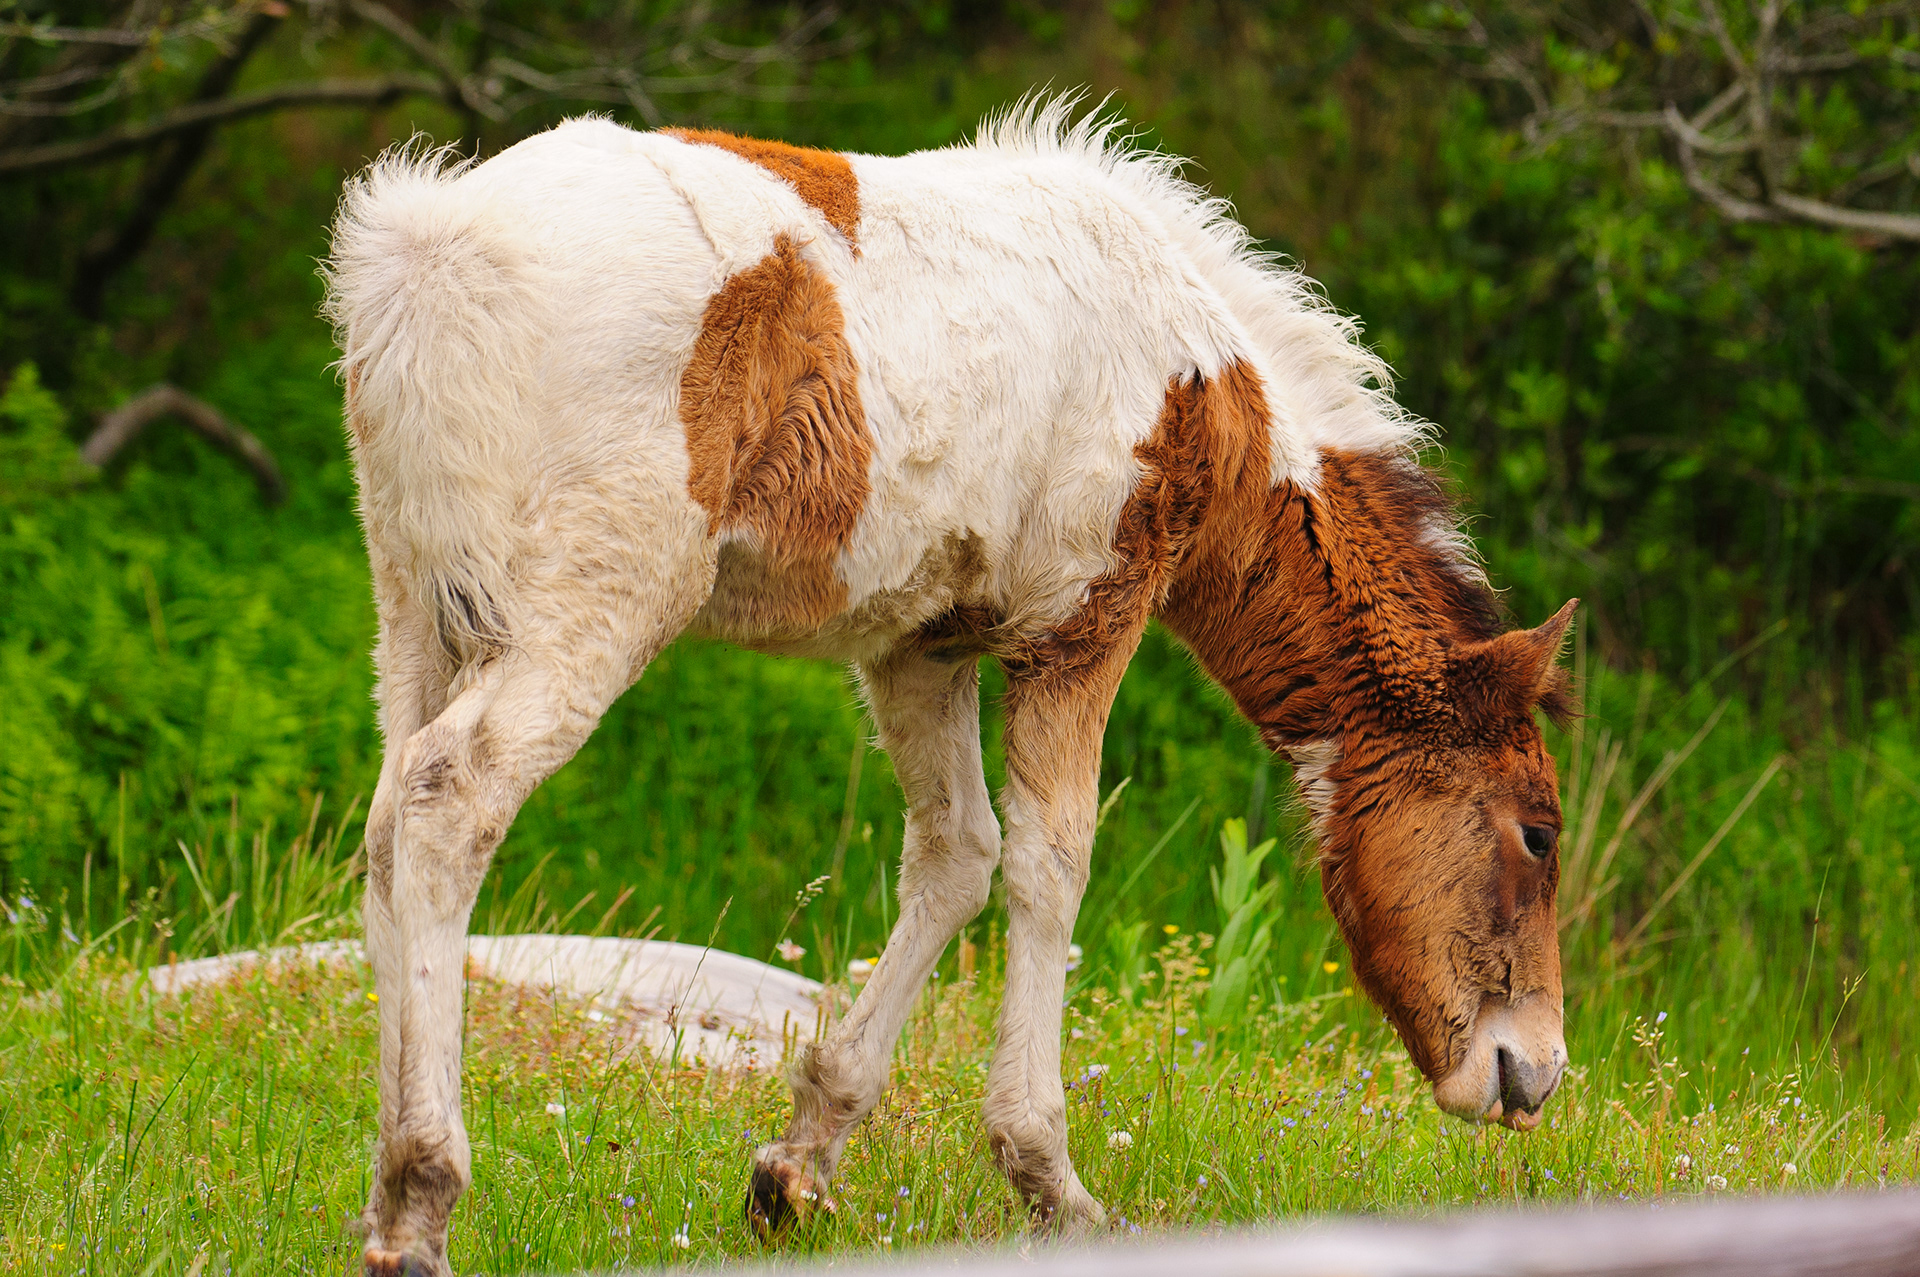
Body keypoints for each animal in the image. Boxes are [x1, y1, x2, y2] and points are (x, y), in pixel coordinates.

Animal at [323, 101, 1576, 1275]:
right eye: (1539, 831)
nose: (1535, 1072)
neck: (1197, 378)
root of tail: (425, 247)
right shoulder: (1082, 620)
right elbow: (1049, 863)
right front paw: (1050, 1179)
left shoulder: (920, 645)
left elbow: (957, 854)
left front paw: (799, 1163)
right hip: (595, 604)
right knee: (449, 799)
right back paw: (422, 1198)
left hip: (416, 608)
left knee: (388, 824)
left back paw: (381, 1199)